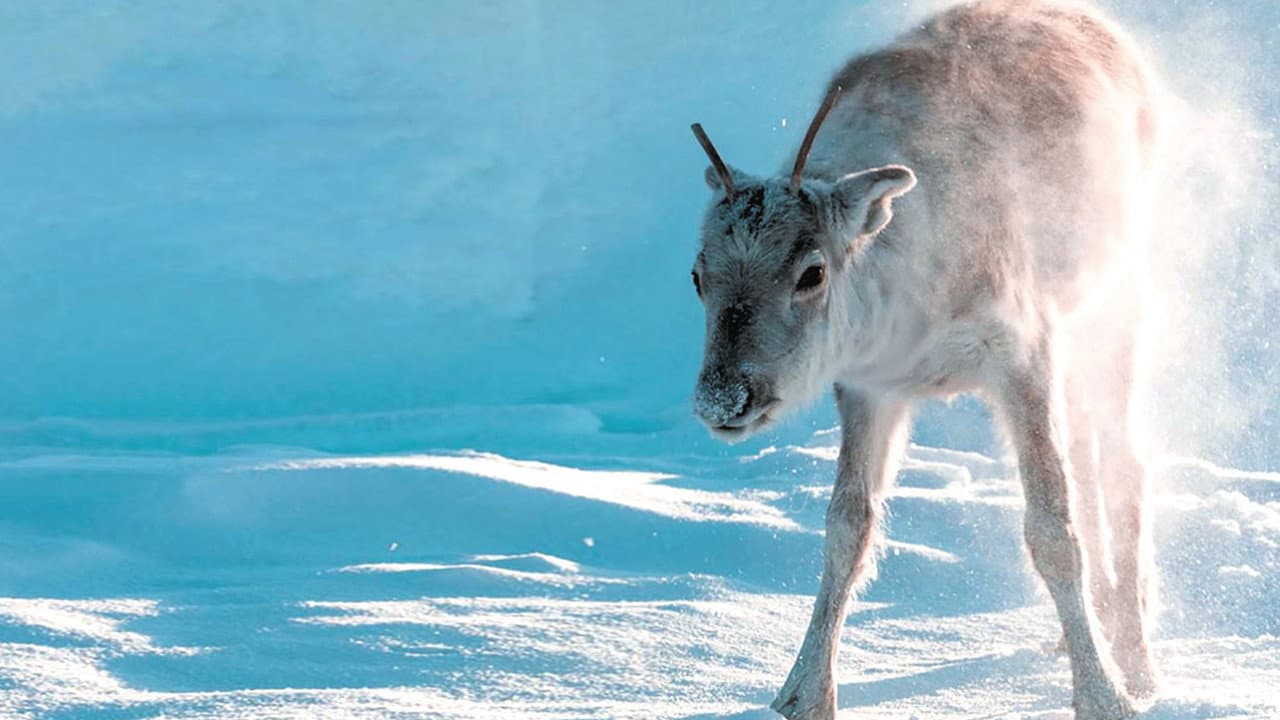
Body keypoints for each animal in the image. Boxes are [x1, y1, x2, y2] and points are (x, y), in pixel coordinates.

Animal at [687, 1, 1162, 718]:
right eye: (697, 276)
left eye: (811, 272)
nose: (722, 399)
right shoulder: (869, 388)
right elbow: (846, 531)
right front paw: (801, 693)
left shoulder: (1021, 350)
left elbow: (1052, 528)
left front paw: (1103, 694)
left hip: (1115, 305)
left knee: (1121, 464)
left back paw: (1134, 659)